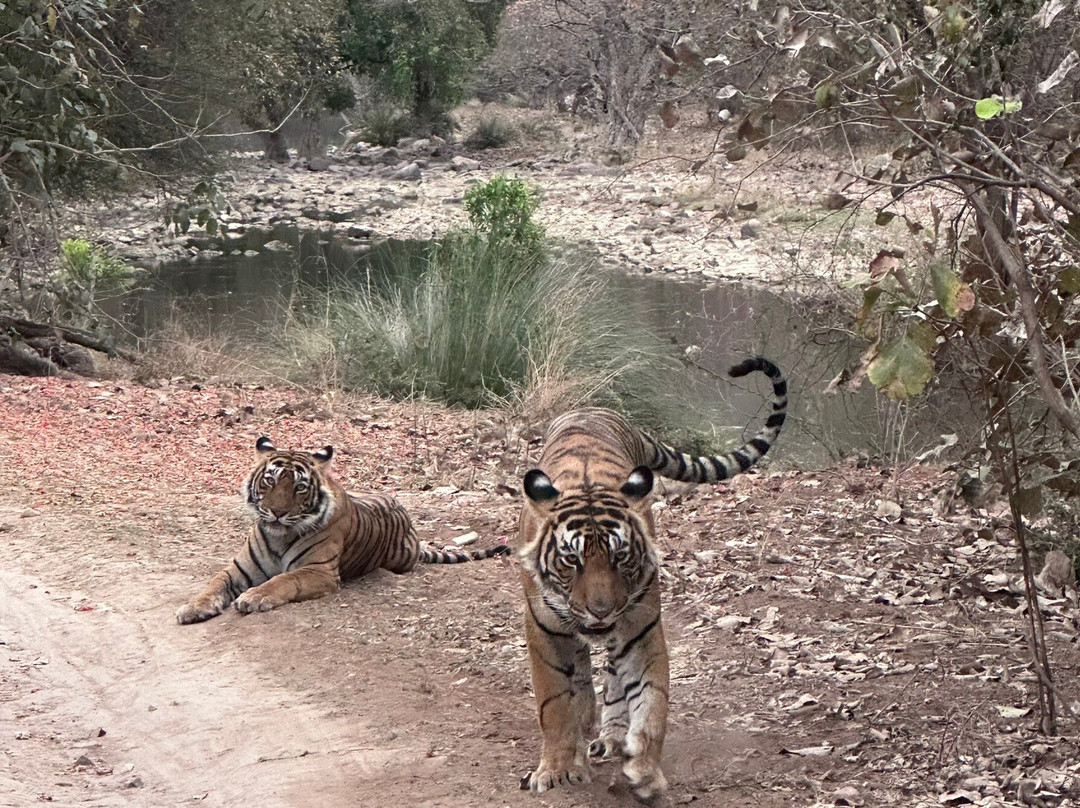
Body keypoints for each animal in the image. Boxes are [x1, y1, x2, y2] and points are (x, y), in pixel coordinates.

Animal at [176, 437, 510, 624]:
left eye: (299, 487)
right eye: (270, 480)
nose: (277, 512)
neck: (279, 535)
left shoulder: (318, 571)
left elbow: (283, 580)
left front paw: (254, 597)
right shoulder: (237, 568)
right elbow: (213, 585)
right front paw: (193, 607)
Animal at [516, 357, 786, 802]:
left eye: (620, 557)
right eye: (572, 560)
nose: (600, 610)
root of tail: (597, 408)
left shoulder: (640, 630)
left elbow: (651, 703)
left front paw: (644, 770)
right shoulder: (545, 632)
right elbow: (554, 703)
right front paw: (557, 769)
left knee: (611, 681)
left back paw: (610, 737)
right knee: (583, 680)